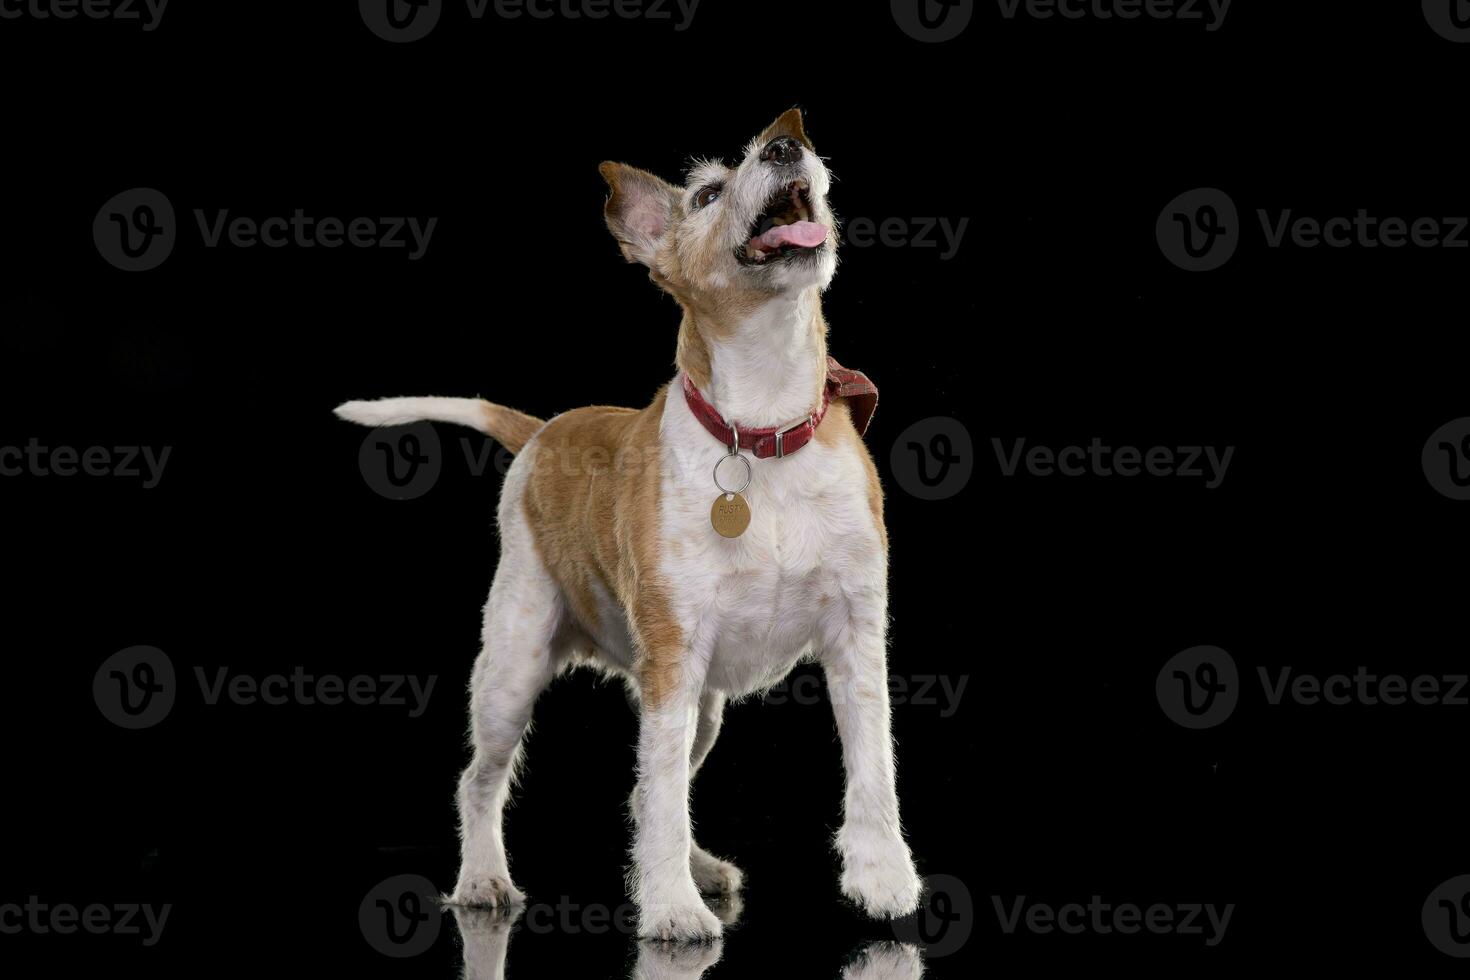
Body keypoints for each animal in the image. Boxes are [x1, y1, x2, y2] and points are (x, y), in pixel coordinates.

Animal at [339, 109, 923, 940]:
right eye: (708, 192)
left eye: (784, 145)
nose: (788, 137)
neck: (762, 430)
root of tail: (544, 430)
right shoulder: (673, 660)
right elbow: (661, 801)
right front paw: (671, 906)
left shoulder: (855, 639)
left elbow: (873, 767)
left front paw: (883, 878)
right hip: (515, 671)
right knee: (483, 781)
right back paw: (484, 875)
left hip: (699, 708)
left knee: (651, 787)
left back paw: (700, 866)